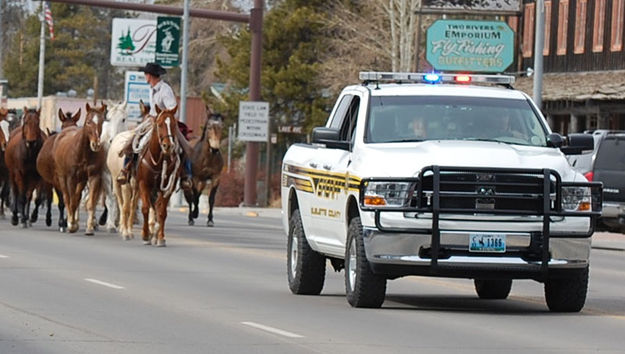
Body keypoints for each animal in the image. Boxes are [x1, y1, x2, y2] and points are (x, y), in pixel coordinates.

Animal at [53, 103, 106, 235]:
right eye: (88, 122)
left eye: (102, 122)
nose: (96, 144)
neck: (83, 152)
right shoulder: (70, 178)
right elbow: (71, 201)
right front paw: (71, 224)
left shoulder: (93, 177)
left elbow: (90, 202)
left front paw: (89, 228)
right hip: (62, 178)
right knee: (67, 198)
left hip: (81, 180)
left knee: (76, 198)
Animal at [106, 99, 148, 241]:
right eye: (108, 118)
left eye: (123, 119)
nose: (111, 140)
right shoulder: (123, 184)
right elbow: (124, 206)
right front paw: (124, 231)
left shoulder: (137, 187)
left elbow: (132, 206)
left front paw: (128, 229)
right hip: (115, 181)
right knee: (119, 201)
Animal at [138, 103, 182, 245]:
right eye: (160, 124)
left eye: (174, 124)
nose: (168, 145)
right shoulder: (143, 184)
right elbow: (145, 208)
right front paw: (145, 235)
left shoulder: (168, 188)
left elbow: (162, 211)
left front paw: (161, 237)